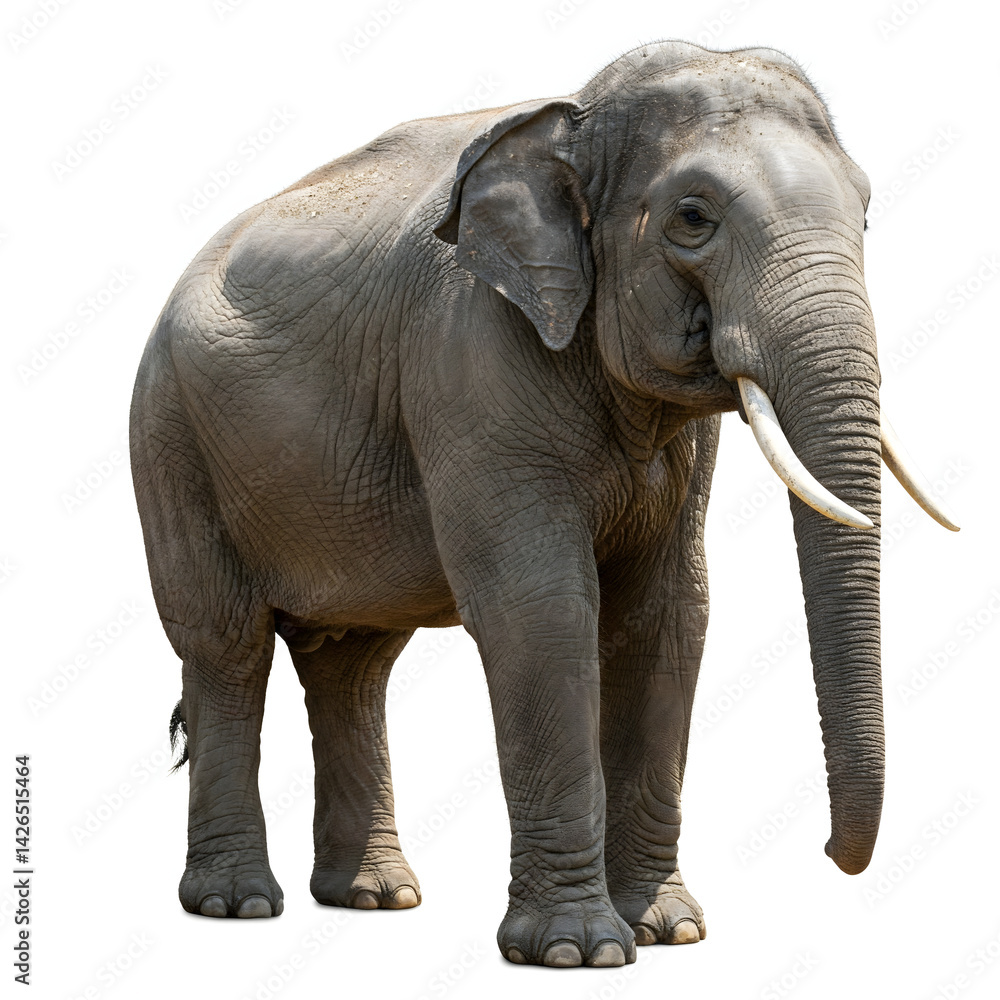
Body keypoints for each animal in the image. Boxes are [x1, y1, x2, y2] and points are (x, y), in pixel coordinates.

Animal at [130, 40, 958, 968]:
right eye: (693, 217)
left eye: (866, 209)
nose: (829, 854)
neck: (572, 118)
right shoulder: (470, 358)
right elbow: (543, 609)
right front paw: (577, 951)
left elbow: (667, 614)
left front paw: (669, 932)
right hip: (169, 437)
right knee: (227, 645)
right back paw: (236, 905)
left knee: (353, 664)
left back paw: (376, 898)